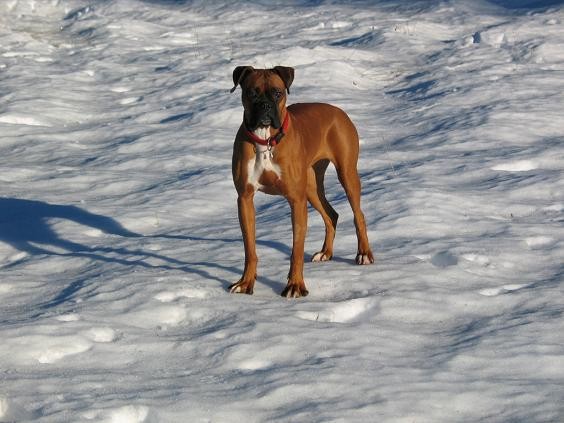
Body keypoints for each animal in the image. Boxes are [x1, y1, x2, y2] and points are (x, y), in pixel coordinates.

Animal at [227, 66, 372, 298]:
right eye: (252, 93)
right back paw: (325, 252)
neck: (266, 141)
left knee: (359, 215)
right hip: (312, 188)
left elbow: (296, 249)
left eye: (277, 93)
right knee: (331, 215)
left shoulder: (296, 200)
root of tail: (338, 111)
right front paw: (245, 283)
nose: (265, 106)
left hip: (347, 175)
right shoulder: (245, 199)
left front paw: (295, 286)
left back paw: (364, 253)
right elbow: (250, 249)